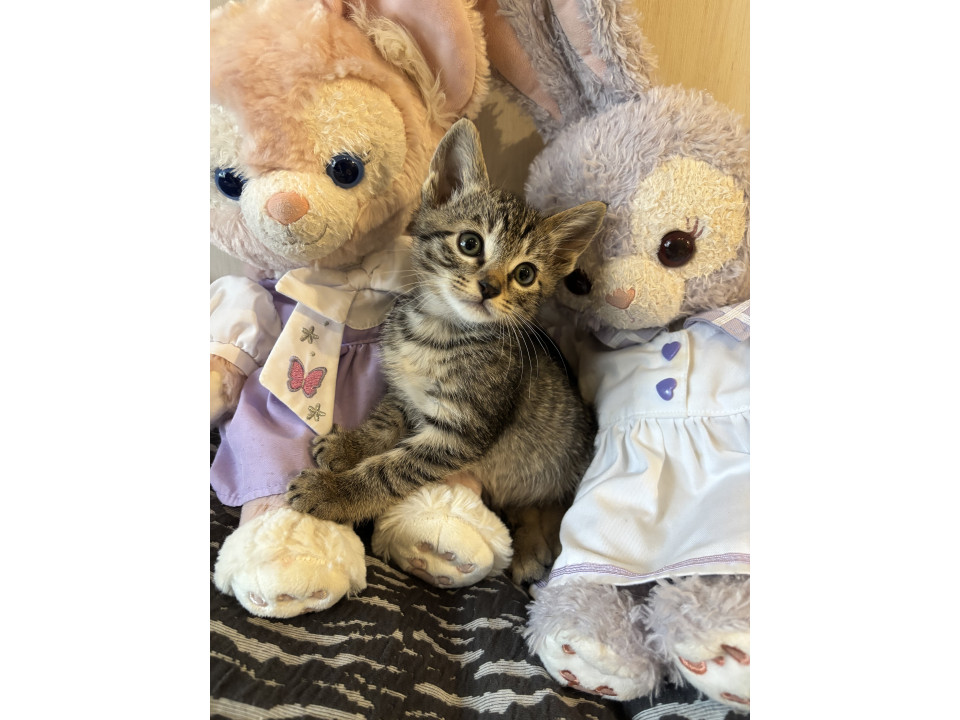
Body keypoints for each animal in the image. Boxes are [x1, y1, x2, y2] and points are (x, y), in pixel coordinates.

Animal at [287, 118, 605, 581]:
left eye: (525, 274)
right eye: (470, 243)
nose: (489, 287)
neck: (437, 330)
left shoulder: (460, 432)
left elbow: (390, 471)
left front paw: (334, 492)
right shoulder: (404, 392)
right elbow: (384, 423)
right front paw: (351, 446)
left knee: (547, 511)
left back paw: (532, 551)